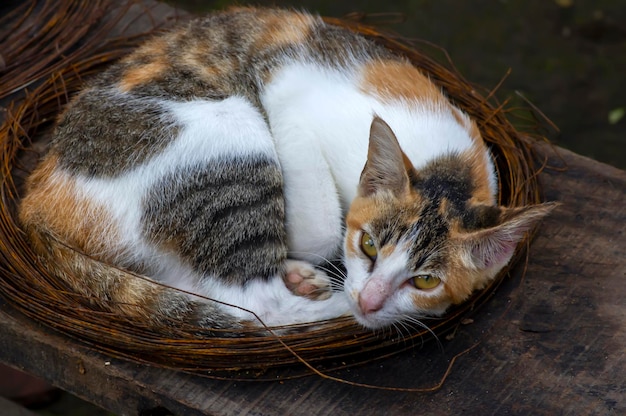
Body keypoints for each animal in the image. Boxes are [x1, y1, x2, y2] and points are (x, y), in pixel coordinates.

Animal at [17, 7, 552, 334]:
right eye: (369, 246)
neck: (450, 166)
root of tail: (36, 199)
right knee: (256, 305)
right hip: (231, 131)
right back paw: (319, 299)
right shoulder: (284, 93)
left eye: (424, 282)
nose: (369, 301)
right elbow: (322, 231)